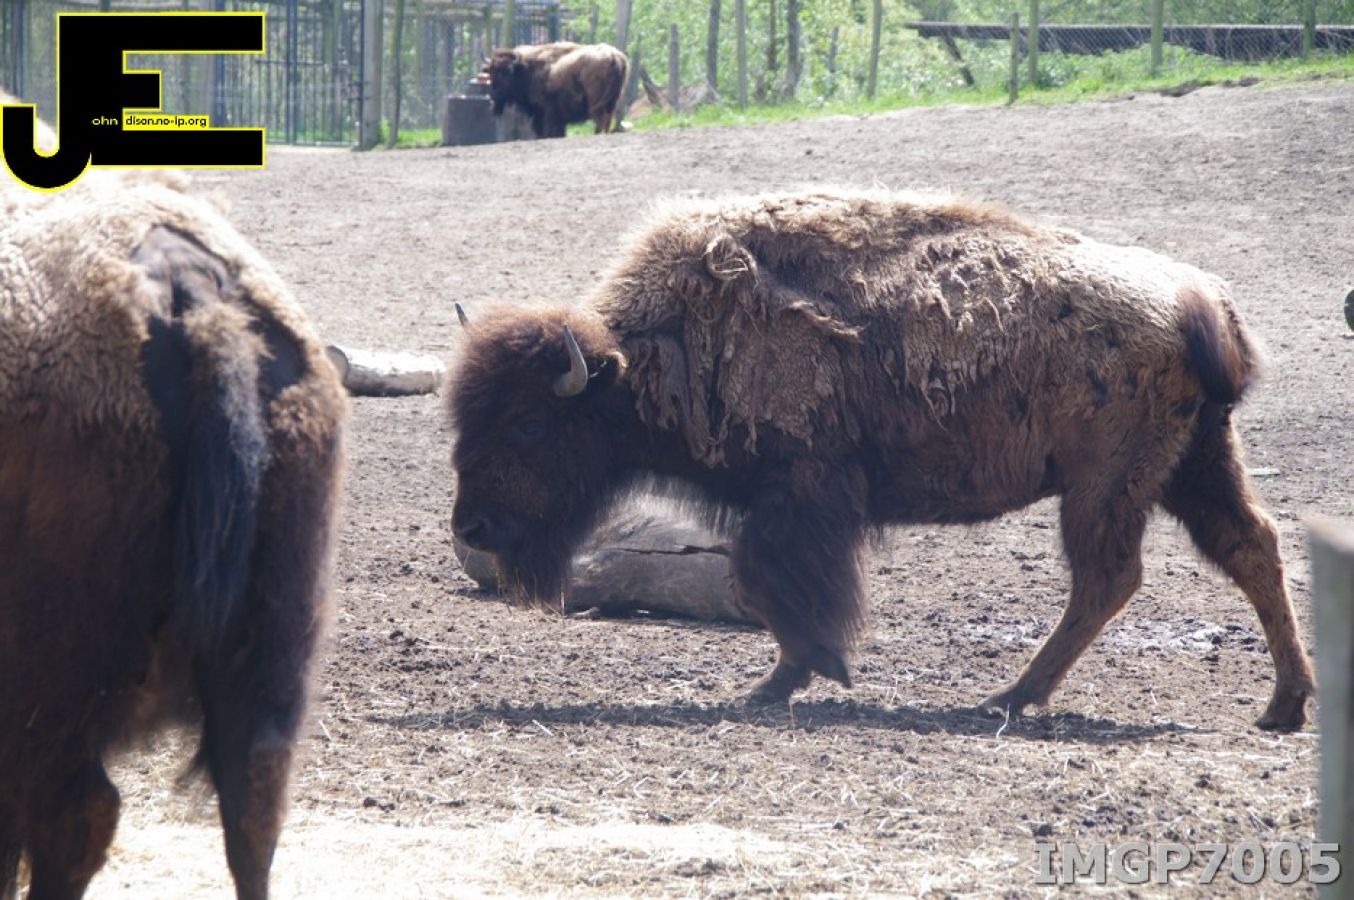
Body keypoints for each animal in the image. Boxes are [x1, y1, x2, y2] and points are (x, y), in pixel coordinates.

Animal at [448, 188, 1315, 731]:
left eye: (528, 426)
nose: (473, 529)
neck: (657, 350)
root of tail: (1200, 299)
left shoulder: (802, 493)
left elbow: (769, 583)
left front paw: (812, 669)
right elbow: (765, 583)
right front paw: (783, 680)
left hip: (1107, 484)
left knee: (1110, 577)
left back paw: (1009, 697)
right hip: (1193, 464)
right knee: (1250, 548)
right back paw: (1282, 706)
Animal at [484, 41, 629, 138]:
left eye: (508, 72)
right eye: (491, 72)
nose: (495, 95)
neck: (527, 68)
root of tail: (613, 56)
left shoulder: (546, 112)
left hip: (597, 104)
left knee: (601, 119)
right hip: (612, 101)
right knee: (607, 119)